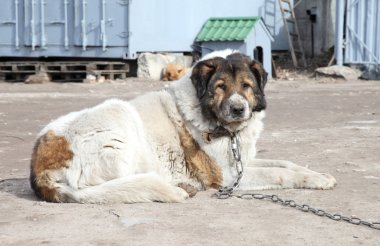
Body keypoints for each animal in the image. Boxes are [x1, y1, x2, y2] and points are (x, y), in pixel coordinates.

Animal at [31, 50, 336, 204]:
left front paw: (317, 174)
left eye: (246, 86)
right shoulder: (227, 177)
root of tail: (38, 169)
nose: (238, 108)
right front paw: (316, 181)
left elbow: (285, 163)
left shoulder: (242, 161)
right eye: (220, 87)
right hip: (119, 112)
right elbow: (279, 173)